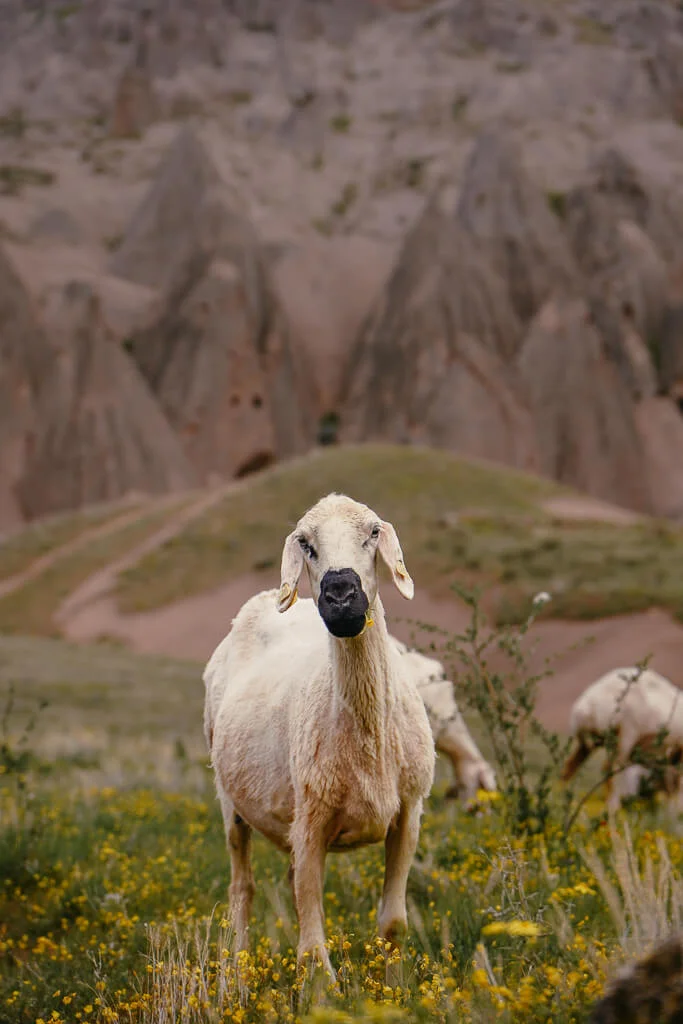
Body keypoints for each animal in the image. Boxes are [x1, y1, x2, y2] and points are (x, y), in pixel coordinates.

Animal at [203, 494, 435, 981]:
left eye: (373, 532)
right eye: (306, 544)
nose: (341, 596)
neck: (367, 736)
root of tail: (256, 602)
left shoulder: (408, 813)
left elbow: (394, 923)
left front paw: (395, 988)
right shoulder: (310, 821)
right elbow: (313, 951)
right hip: (230, 800)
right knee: (241, 887)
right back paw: (236, 971)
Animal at [561, 667, 683, 811]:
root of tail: (588, 705)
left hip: (587, 744)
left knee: (569, 768)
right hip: (624, 738)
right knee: (608, 770)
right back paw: (612, 811)